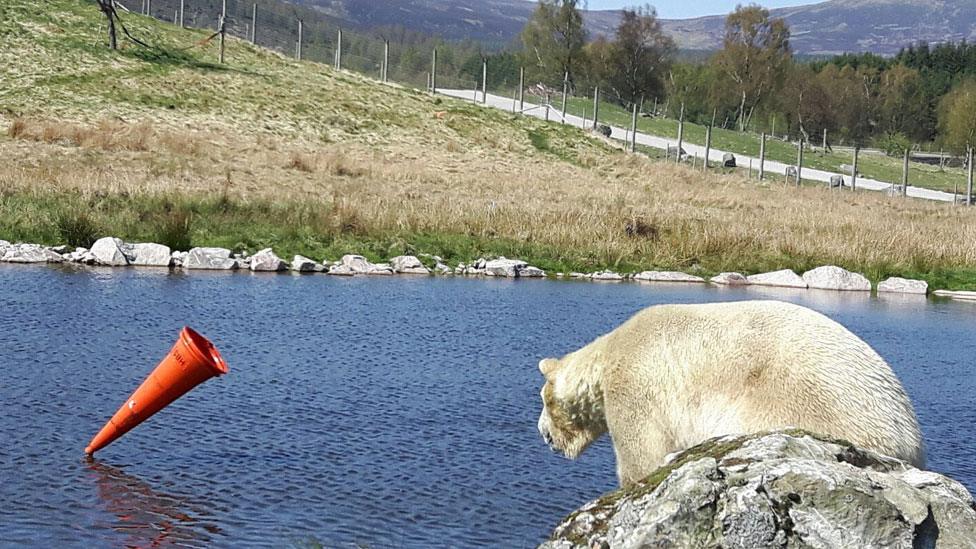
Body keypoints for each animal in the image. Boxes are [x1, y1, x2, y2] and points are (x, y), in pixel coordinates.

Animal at [536, 302, 928, 486]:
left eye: (543, 400)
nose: (542, 434)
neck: (609, 353)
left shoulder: (636, 387)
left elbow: (641, 457)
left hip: (803, 401)